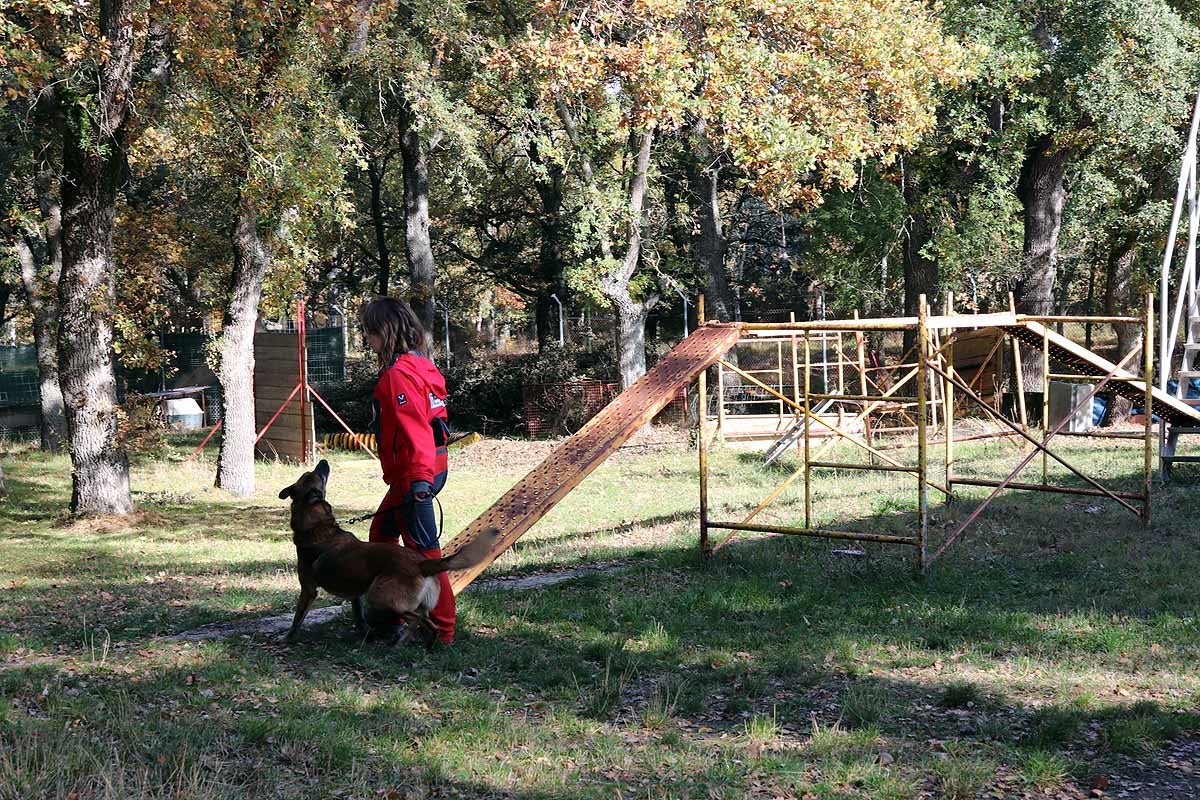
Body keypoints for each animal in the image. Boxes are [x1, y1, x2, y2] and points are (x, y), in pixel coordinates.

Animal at [276, 460, 492, 647]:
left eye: (312, 474)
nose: (323, 461)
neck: (317, 526)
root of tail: (421, 564)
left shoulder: (308, 589)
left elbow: (297, 619)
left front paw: (286, 638)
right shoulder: (355, 594)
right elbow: (359, 617)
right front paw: (365, 636)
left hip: (379, 597)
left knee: (419, 620)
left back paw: (404, 644)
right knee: (426, 622)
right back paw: (419, 645)